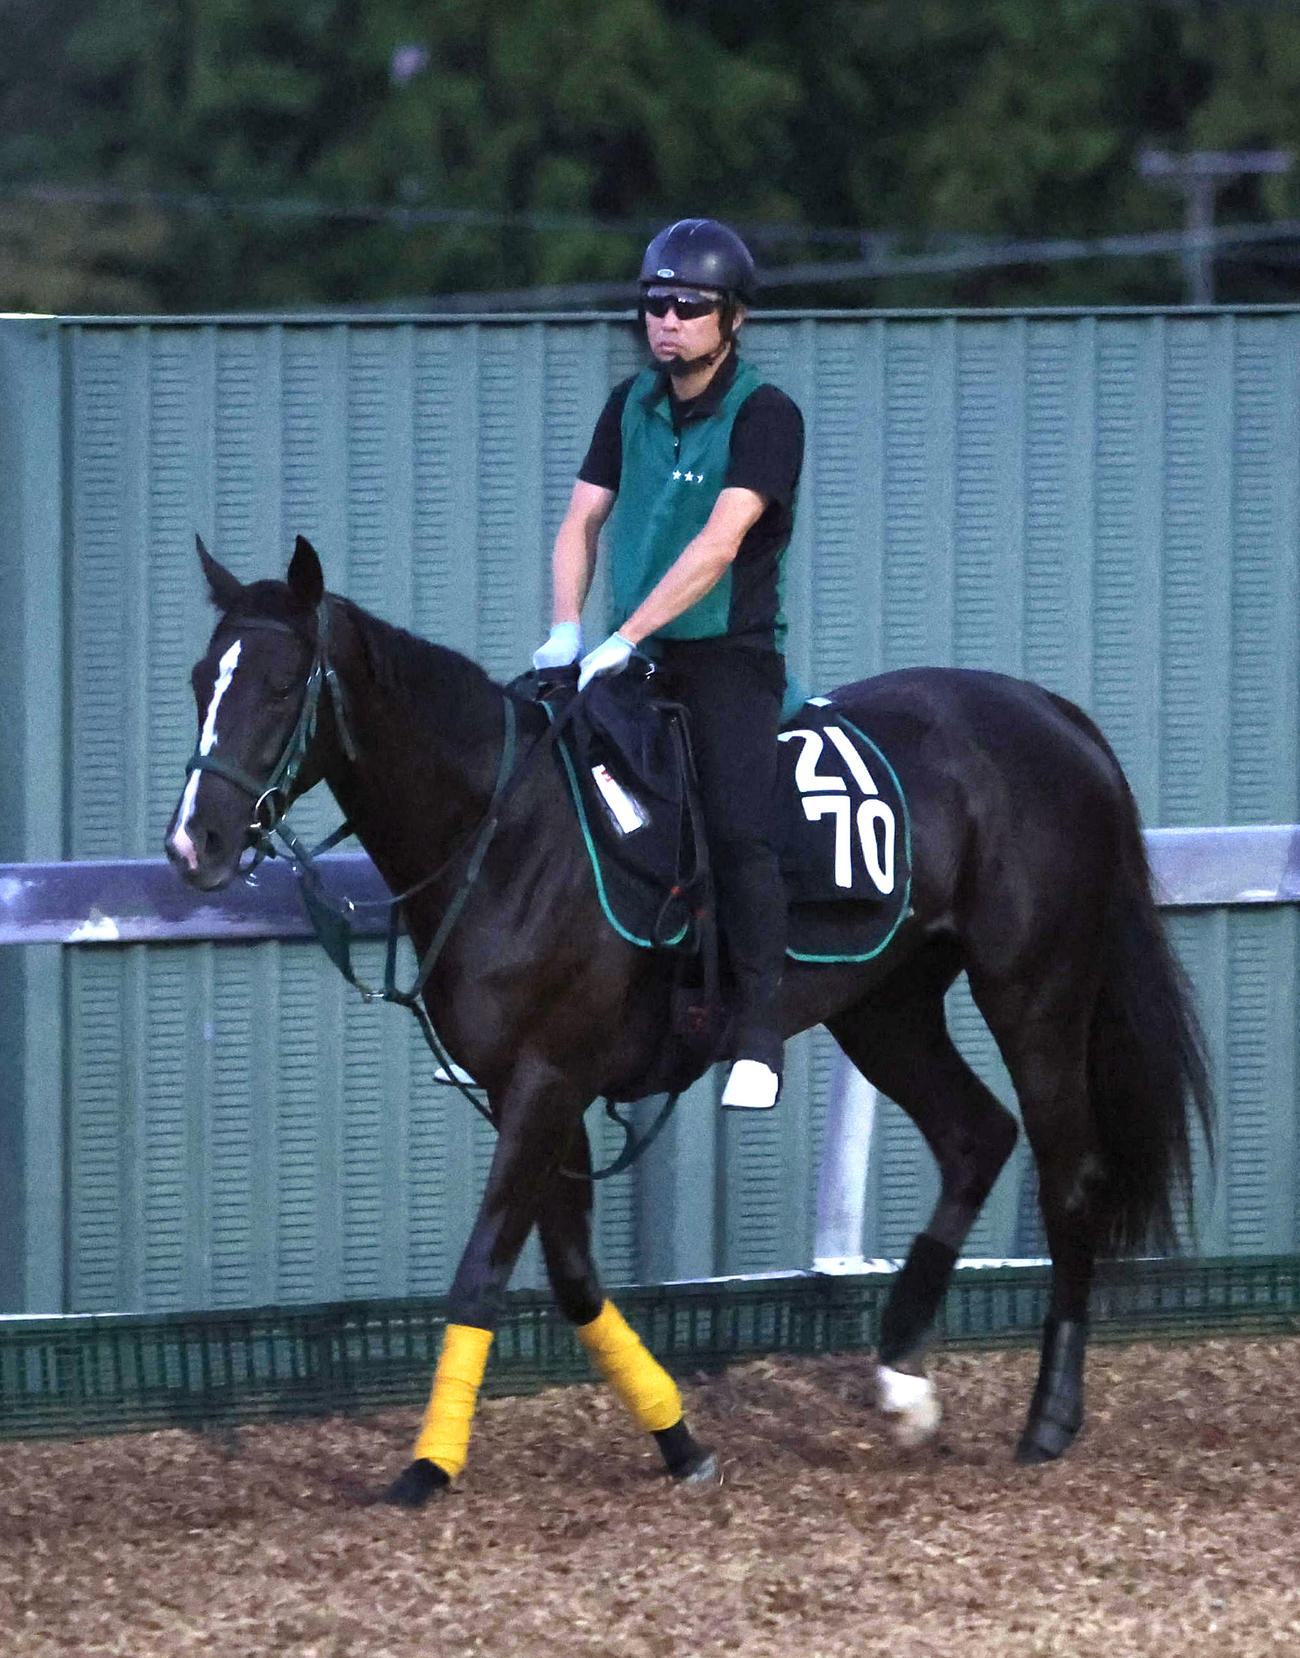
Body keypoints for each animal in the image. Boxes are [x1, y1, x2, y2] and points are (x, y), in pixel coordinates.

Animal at [164, 534, 1213, 1506]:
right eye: (200, 679)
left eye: (283, 682)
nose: (193, 843)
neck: (507, 828)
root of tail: (1053, 714)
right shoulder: (529, 1094)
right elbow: (574, 1277)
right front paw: (680, 1441)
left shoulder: (548, 1080)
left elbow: (483, 1270)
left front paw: (427, 1466)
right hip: (885, 1005)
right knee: (974, 1135)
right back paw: (902, 1378)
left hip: (1036, 988)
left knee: (1068, 1173)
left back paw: (1050, 1416)